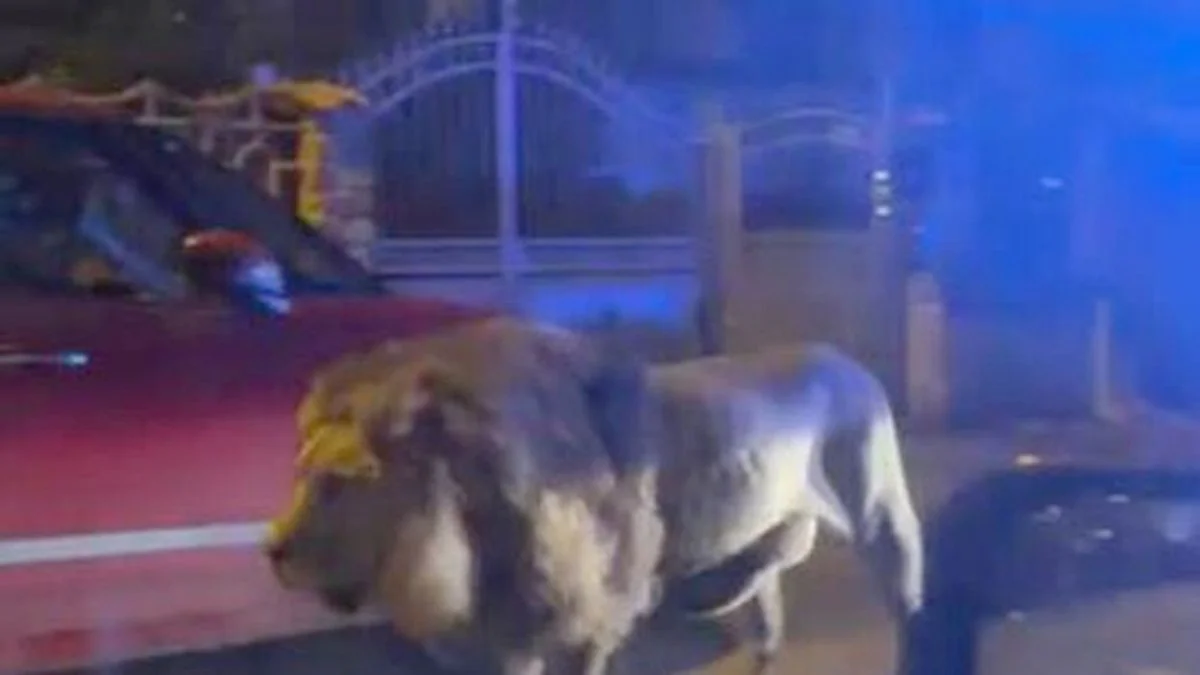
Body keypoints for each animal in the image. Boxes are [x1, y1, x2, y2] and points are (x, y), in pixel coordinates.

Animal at [265, 318, 923, 675]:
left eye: (341, 481)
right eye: (298, 476)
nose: (273, 551)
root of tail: (850, 363)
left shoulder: (584, 614)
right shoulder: (507, 631)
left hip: (880, 511)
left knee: (905, 591)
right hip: (768, 533)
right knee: (766, 599)